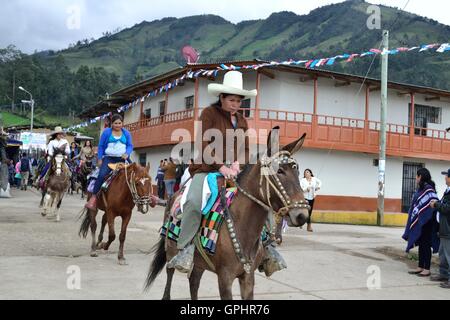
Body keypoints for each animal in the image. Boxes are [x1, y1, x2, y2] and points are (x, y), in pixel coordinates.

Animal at [144, 128, 310, 300]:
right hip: (171, 252)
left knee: (194, 282)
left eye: (297, 171)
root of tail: (173, 195)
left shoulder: (248, 277)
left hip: (199, 262)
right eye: (279, 171)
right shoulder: (225, 277)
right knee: (169, 277)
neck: (241, 224)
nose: (302, 215)